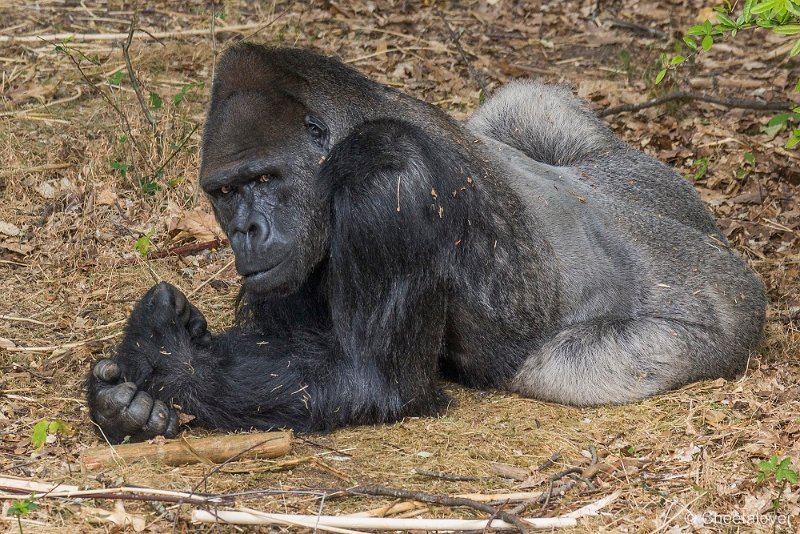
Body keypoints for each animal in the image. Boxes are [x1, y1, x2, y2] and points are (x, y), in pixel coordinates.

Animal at [84, 42, 764, 446]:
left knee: (556, 367)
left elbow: (368, 383)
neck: (347, 129)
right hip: (638, 177)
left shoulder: (388, 183)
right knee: (527, 104)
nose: (246, 230)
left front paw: (163, 355)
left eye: (265, 179)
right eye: (225, 192)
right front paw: (127, 404)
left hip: (723, 308)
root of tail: (723, 245)